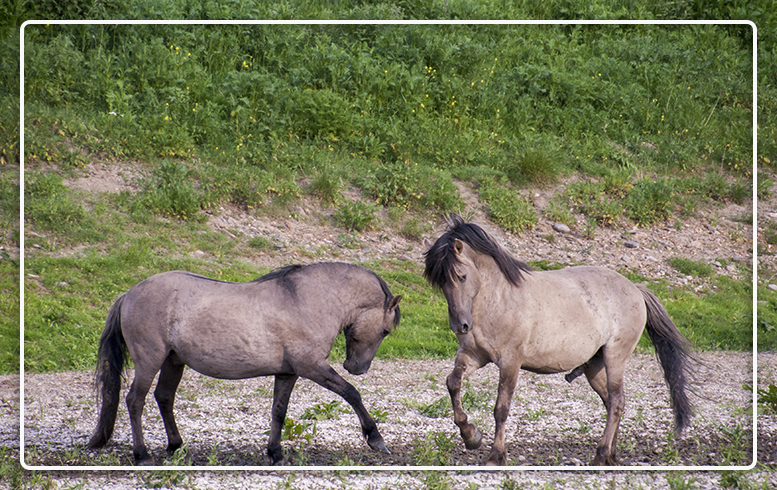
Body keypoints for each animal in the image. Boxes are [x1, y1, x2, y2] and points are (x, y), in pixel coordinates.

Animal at [86, 262, 400, 466]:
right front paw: (375, 438)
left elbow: (279, 411)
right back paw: (142, 455)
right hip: (149, 361)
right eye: (385, 330)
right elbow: (351, 394)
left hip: (173, 362)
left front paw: (275, 453)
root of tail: (129, 294)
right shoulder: (312, 368)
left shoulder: (287, 373)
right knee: (135, 401)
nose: (356, 367)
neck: (304, 300)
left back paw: (176, 446)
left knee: (163, 397)